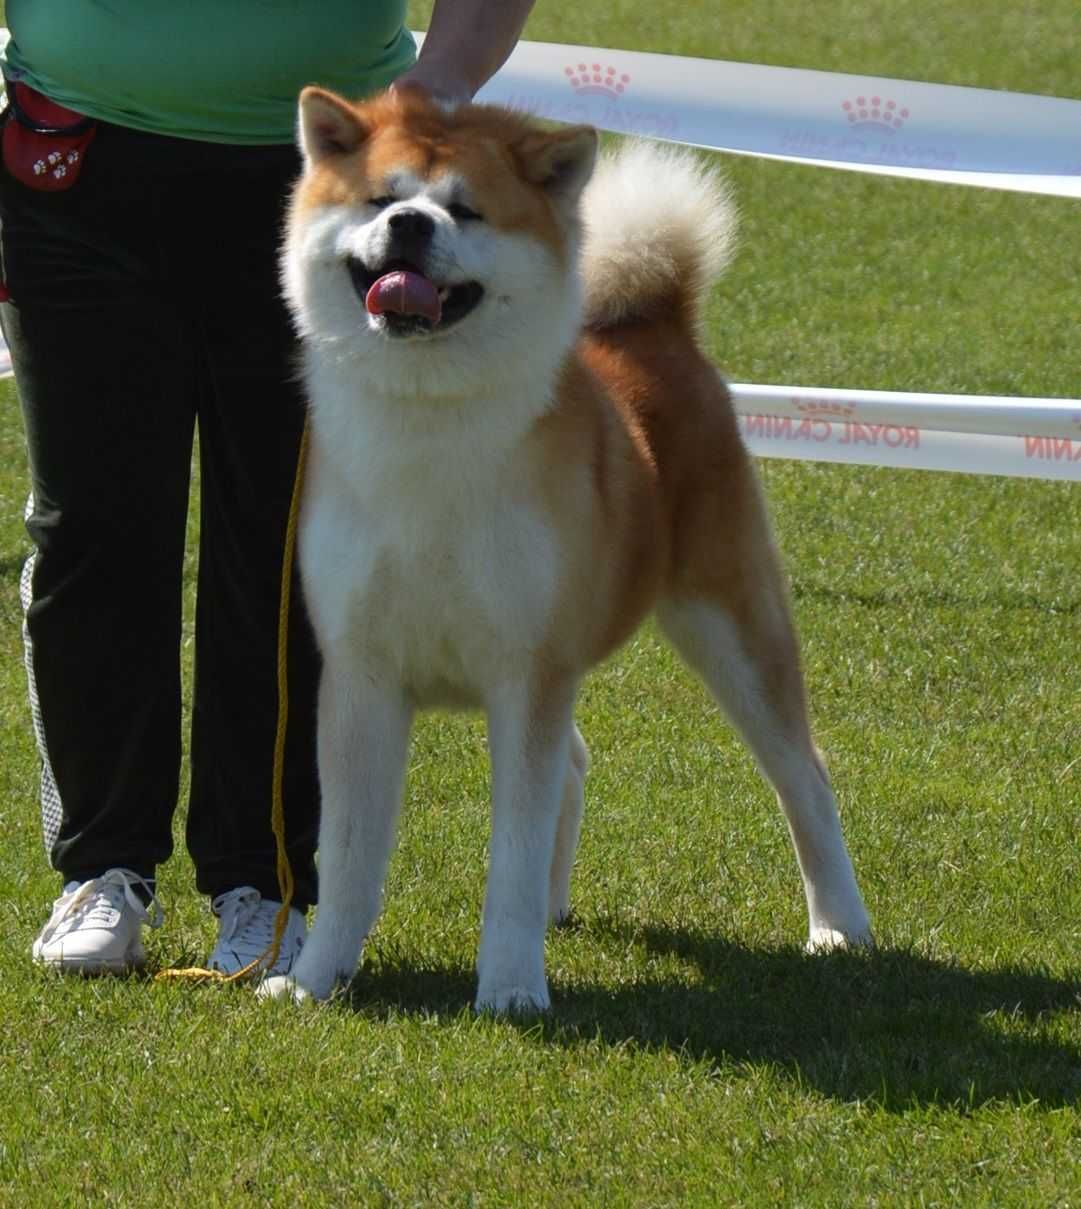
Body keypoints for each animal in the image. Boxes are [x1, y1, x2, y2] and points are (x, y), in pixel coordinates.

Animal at [266, 87, 875, 1010]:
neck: (425, 428)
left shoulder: (528, 670)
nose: (408, 224)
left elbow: (510, 858)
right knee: (579, 764)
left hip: (730, 625)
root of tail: (656, 324)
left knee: (803, 775)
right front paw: (313, 979)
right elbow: (347, 858)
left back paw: (839, 924)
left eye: (464, 210)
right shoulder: (362, 673)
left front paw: (512, 988)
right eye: (379, 199)